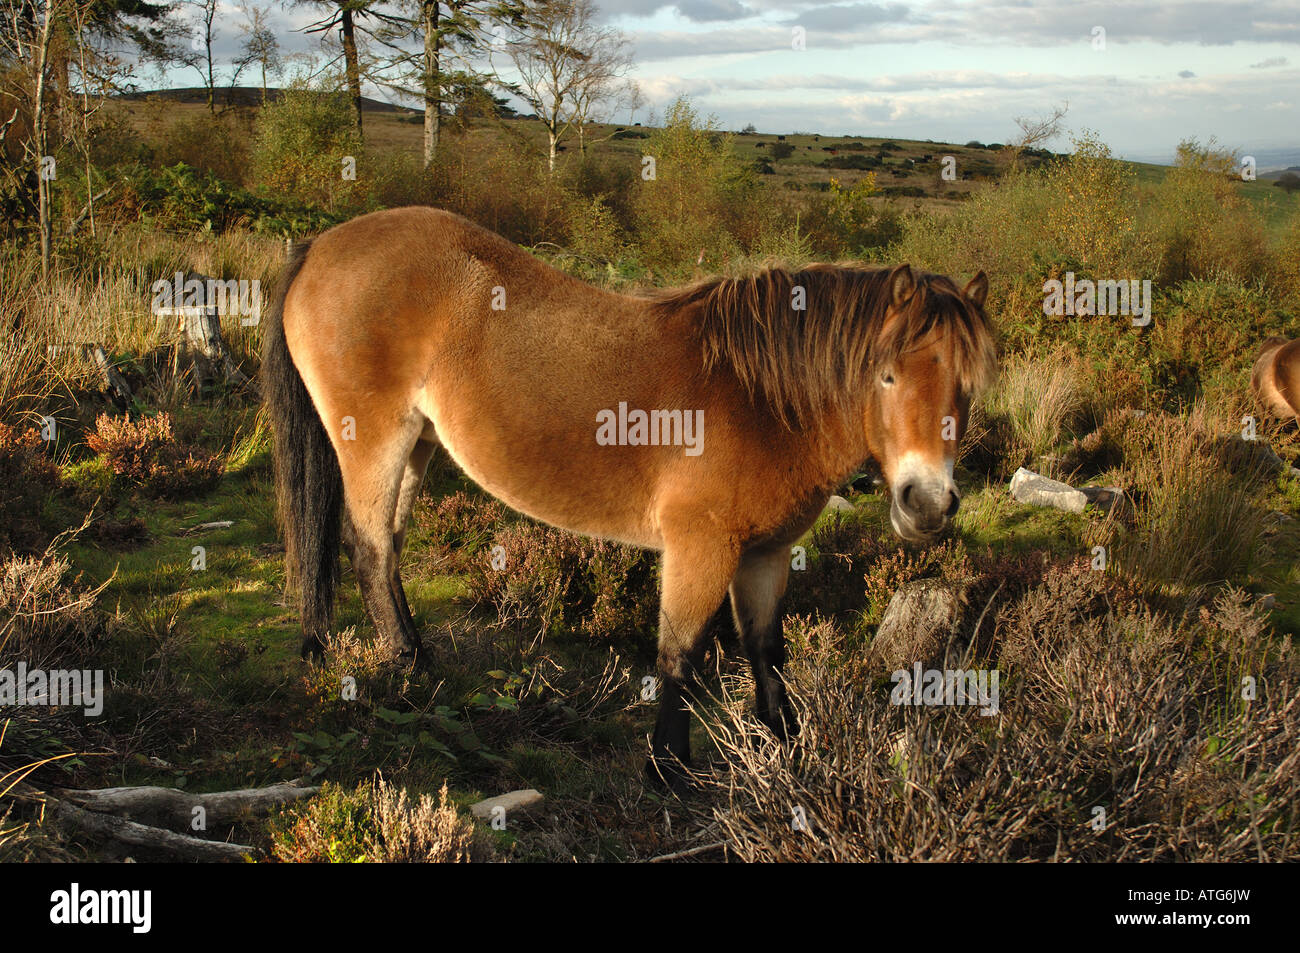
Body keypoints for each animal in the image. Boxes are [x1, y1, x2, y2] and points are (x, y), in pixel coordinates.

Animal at [261, 206, 998, 788]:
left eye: (969, 382)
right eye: (886, 374)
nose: (927, 503)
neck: (761, 398)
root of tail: (322, 245)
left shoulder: (766, 554)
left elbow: (767, 650)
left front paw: (790, 749)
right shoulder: (701, 547)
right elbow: (680, 656)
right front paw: (667, 769)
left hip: (418, 441)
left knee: (385, 546)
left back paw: (416, 658)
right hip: (375, 439)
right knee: (370, 547)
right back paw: (408, 670)